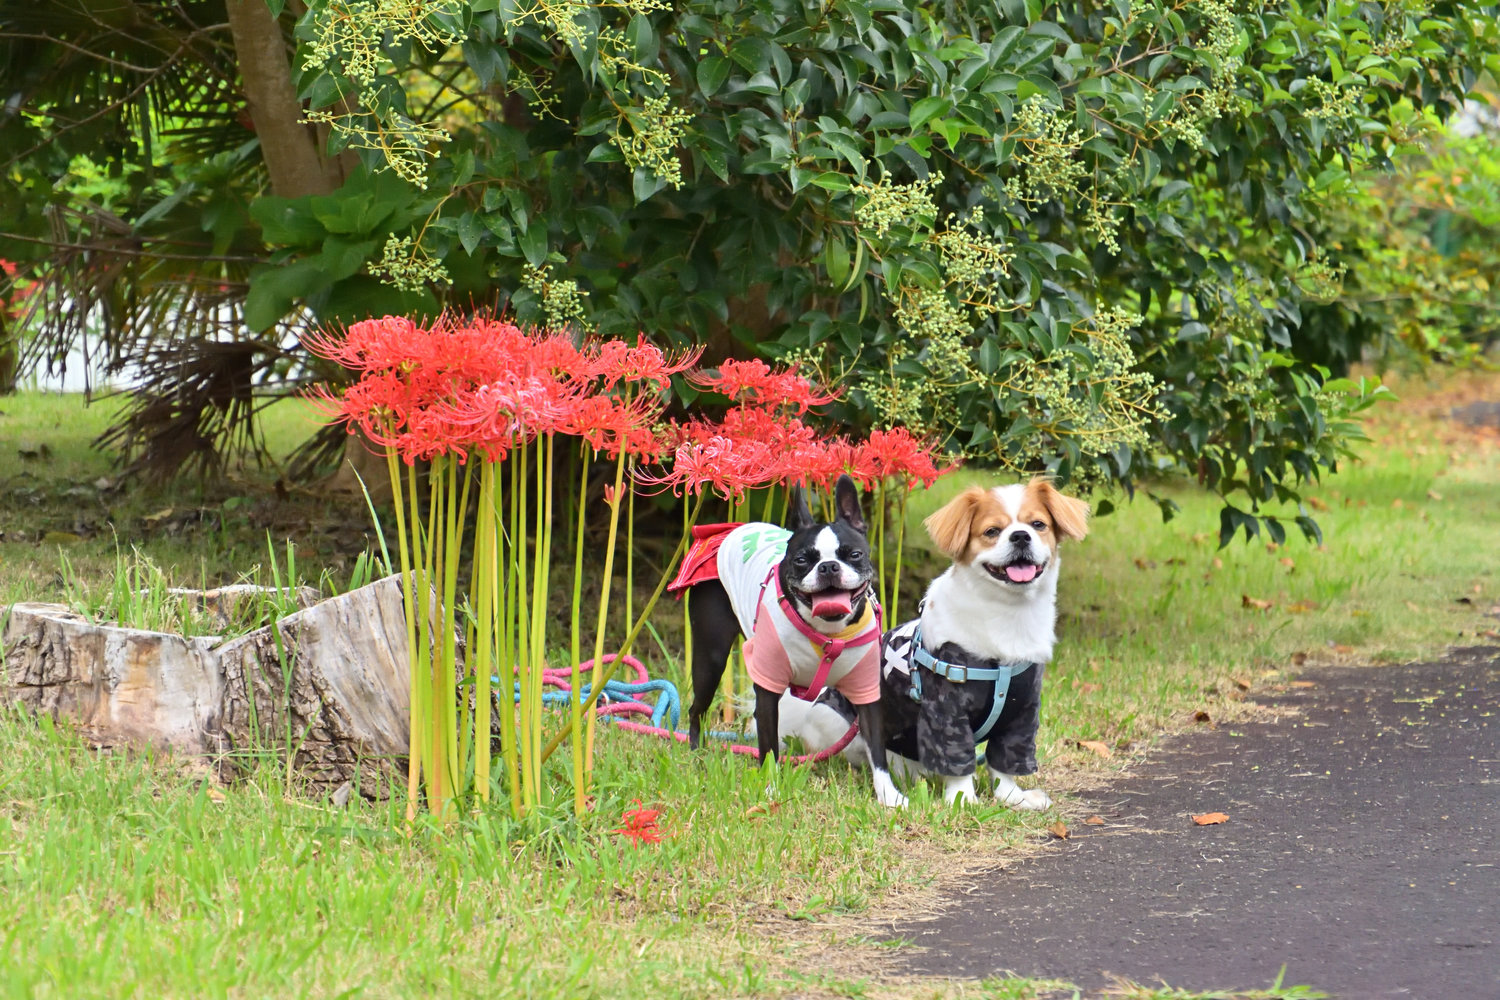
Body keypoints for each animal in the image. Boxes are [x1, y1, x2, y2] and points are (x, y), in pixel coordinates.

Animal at [673, 474, 905, 808]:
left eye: (854, 555)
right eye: (801, 560)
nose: (828, 566)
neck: (827, 633)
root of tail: (728, 529)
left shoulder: (866, 693)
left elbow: (877, 750)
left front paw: (889, 796)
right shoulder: (768, 687)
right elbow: (768, 746)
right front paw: (771, 788)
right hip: (711, 656)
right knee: (697, 709)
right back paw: (696, 754)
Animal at [779, 478, 1089, 808]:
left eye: (1038, 524)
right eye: (992, 531)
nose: (1020, 535)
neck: (1007, 617)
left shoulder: (1021, 710)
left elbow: (1005, 761)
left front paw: (1013, 797)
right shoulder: (945, 708)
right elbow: (954, 758)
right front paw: (963, 800)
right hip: (834, 722)